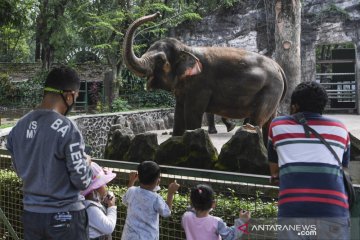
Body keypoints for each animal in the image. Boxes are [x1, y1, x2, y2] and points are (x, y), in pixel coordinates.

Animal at [124, 12, 286, 137]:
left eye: (160, 59)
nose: (157, 14)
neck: (187, 48)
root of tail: (279, 67)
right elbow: (178, 115)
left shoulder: (200, 84)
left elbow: (192, 114)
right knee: (269, 122)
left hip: (270, 90)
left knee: (258, 119)